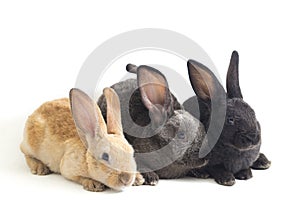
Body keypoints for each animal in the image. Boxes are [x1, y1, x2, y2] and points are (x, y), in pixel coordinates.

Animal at [184, 51, 270, 186]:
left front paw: (246, 174)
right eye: (230, 119)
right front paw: (228, 179)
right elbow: (216, 168)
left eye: (253, 113)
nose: (253, 137)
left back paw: (264, 162)